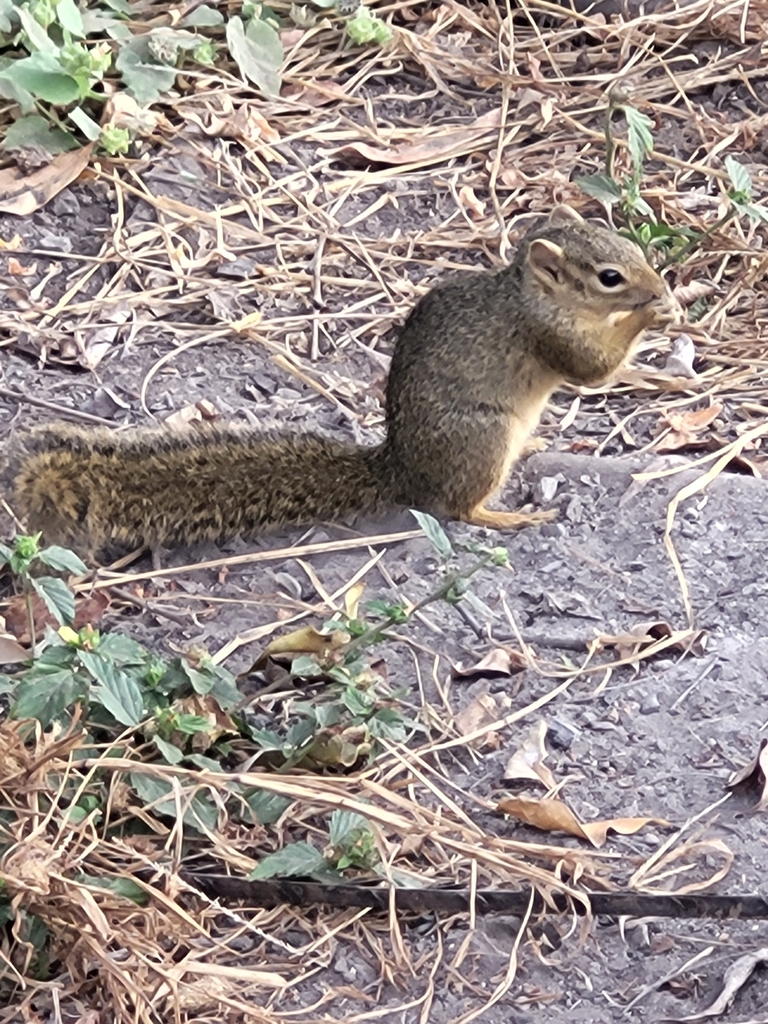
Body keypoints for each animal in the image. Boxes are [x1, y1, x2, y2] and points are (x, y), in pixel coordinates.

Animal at [11, 205, 682, 559]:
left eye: (630, 248)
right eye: (610, 277)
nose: (655, 284)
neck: (532, 295)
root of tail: (400, 469)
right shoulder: (549, 335)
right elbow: (592, 371)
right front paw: (654, 313)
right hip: (482, 440)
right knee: (457, 507)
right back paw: (506, 518)